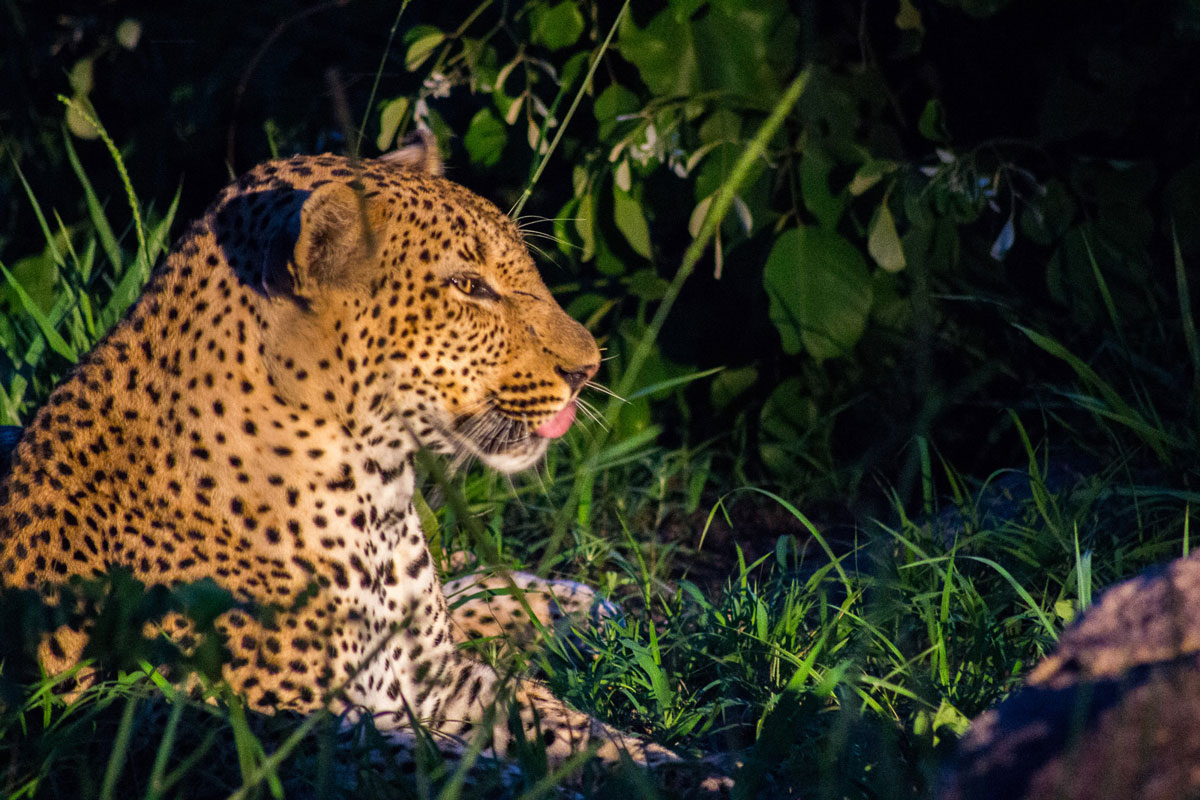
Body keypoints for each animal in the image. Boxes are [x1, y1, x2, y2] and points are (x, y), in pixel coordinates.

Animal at [0, 134, 725, 791]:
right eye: (469, 286)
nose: (588, 368)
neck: (375, 500)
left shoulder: (443, 682)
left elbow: (572, 728)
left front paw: (689, 770)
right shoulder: (292, 740)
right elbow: (474, 773)